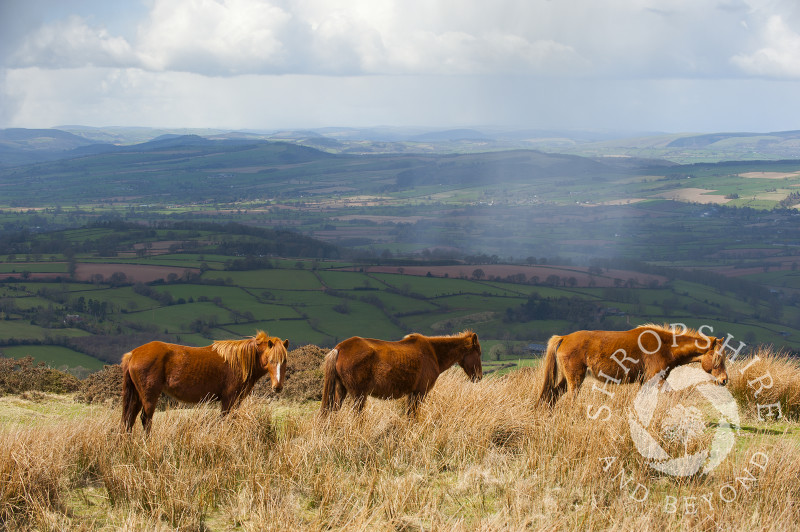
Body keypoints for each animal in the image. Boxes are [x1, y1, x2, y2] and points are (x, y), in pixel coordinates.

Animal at [121, 330, 288, 434]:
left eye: (285, 361)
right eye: (271, 360)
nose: (277, 387)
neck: (240, 361)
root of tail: (133, 354)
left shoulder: (236, 400)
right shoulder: (229, 399)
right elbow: (225, 420)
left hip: (137, 396)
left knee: (129, 419)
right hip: (149, 396)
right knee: (145, 419)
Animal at [318, 328, 482, 416]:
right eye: (478, 353)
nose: (479, 377)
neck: (433, 352)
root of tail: (339, 348)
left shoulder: (412, 394)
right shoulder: (420, 393)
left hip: (341, 391)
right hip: (359, 395)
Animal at [536, 322, 732, 406]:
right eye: (717, 358)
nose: (724, 380)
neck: (666, 346)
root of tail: (564, 337)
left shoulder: (644, 382)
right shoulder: (655, 379)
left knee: (553, 395)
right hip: (575, 379)